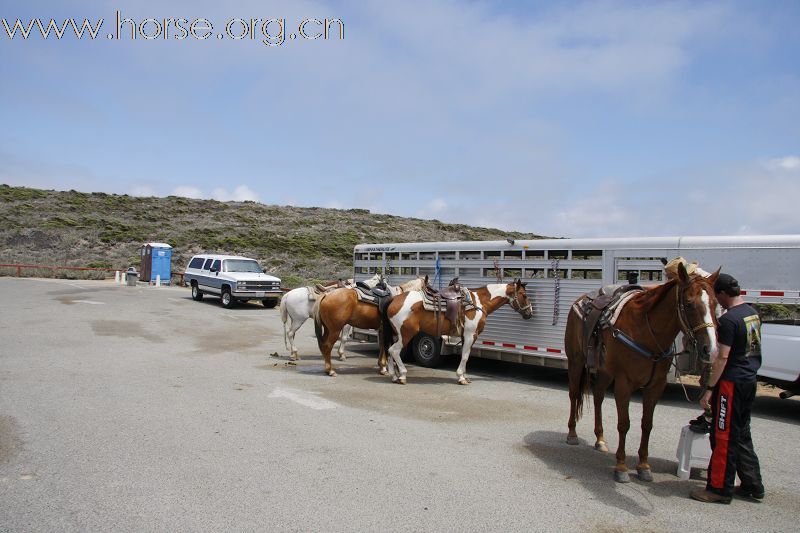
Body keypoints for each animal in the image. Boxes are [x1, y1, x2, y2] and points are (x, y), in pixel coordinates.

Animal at [382, 278, 532, 382]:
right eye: (524, 295)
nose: (530, 313)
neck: (479, 302)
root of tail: (394, 299)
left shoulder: (467, 336)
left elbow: (466, 355)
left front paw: (464, 376)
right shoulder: (471, 335)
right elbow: (465, 356)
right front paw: (461, 377)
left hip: (396, 334)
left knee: (389, 350)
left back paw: (394, 376)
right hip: (406, 334)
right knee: (394, 350)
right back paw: (402, 375)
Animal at [564, 262, 724, 482]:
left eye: (715, 304)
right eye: (690, 304)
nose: (712, 349)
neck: (647, 332)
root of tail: (580, 300)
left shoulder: (656, 386)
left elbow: (647, 425)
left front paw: (643, 466)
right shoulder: (624, 383)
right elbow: (624, 424)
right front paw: (621, 467)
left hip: (605, 372)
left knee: (598, 398)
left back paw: (600, 439)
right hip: (576, 362)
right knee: (573, 395)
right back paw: (572, 434)